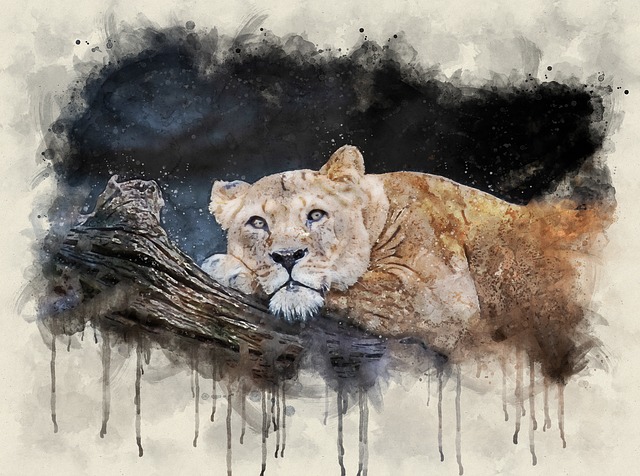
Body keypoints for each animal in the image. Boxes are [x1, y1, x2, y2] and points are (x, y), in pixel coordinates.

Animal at [203, 145, 611, 378]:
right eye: (258, 222)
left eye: (316, 216)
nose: (287, 257)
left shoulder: (441, 297)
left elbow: (359, 286)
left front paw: (231, 269)